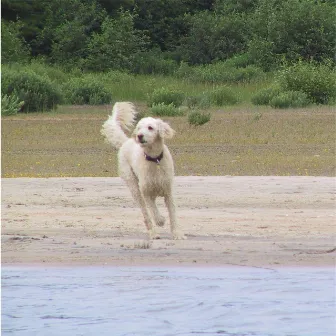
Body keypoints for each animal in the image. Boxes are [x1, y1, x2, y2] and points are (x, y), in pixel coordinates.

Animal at [101, 101, 186, 240]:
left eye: (150, 127)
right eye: (139, 128)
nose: (139, 136)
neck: (155, 160)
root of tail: (126, 142)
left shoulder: (168, 191)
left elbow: (173, 215)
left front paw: (177, 234)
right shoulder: (146, 192)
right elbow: (153, 210)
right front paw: (160, 220)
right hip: (134, 188)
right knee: (146, 214)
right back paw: (153, 233)